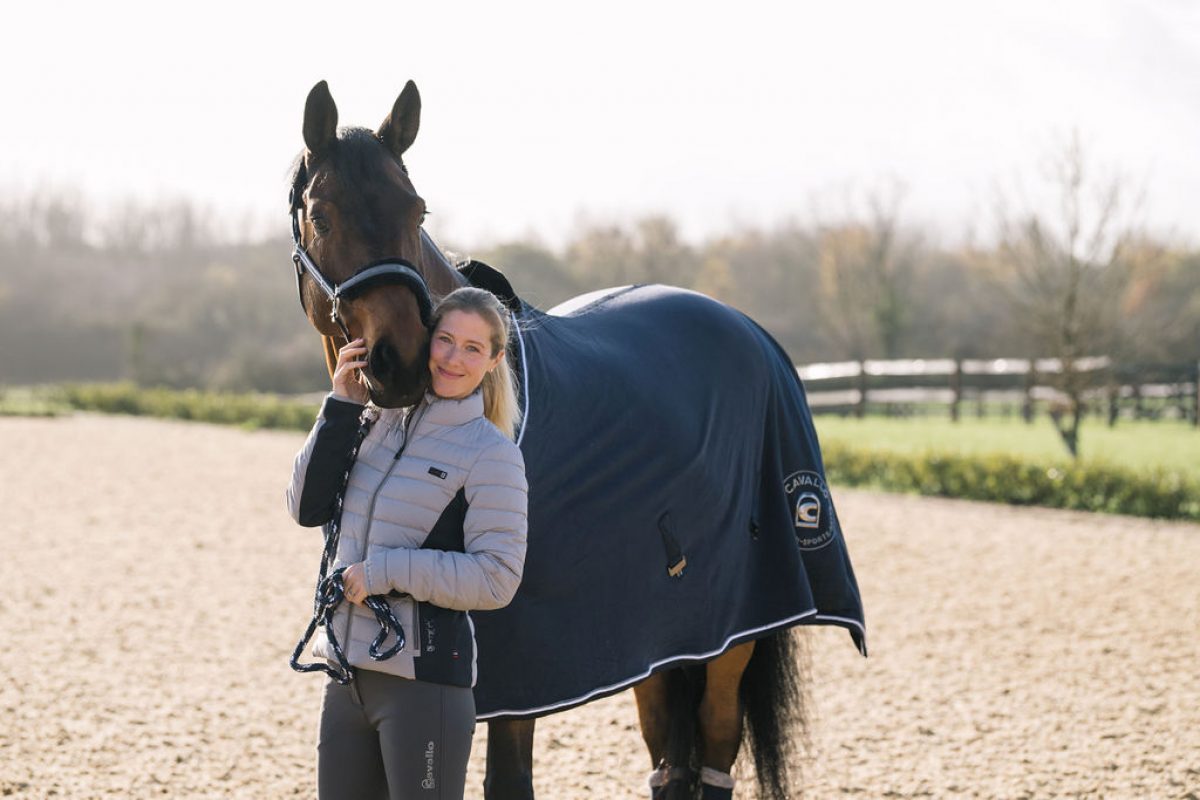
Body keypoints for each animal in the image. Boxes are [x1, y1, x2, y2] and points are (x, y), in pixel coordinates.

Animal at [286, 79, 866, 800]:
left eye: (416, 211)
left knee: (715, 743)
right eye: (322, 214)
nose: (403, 361)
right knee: (668, 757)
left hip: (737, 636)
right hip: (668, 640)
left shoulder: (517, 684)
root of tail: (753, 334)